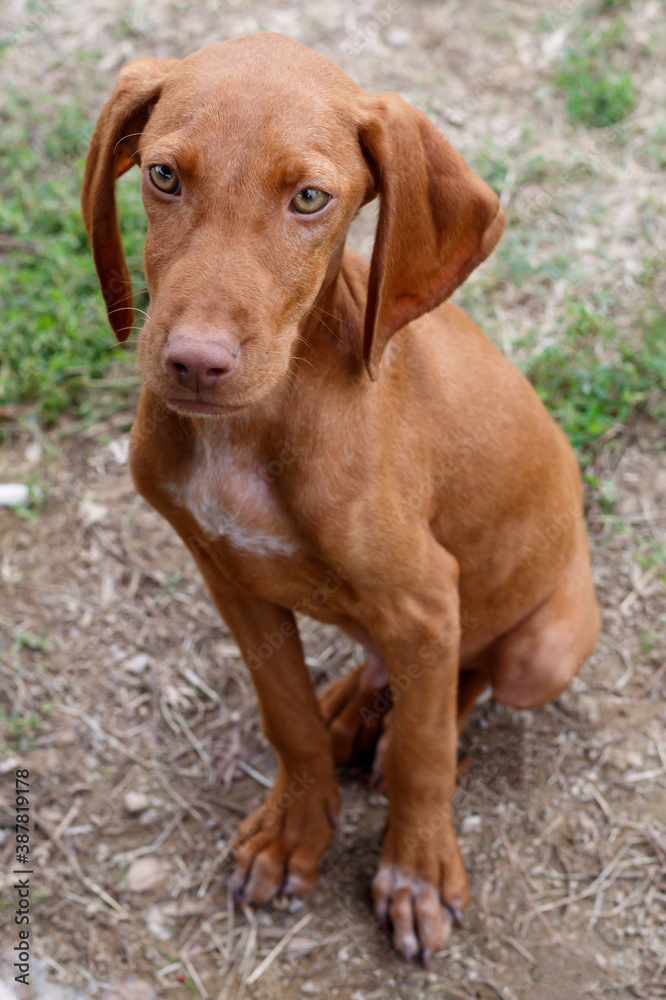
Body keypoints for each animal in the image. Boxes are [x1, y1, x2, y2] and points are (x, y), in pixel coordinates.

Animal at [81, 35, 596, 964]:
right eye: (164, 176)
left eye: (310, 199)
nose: (195, 362)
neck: (257, 428)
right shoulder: (227, 576)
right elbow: (286, 714)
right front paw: (295, 832)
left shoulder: (426, 595)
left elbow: (422, 754)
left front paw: (417, 871)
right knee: (387, 668)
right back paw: (354, 705)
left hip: (541, 649)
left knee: (470, 673)